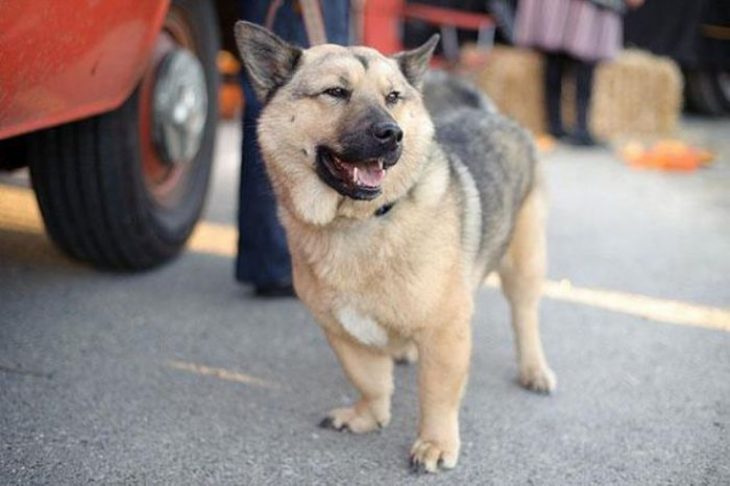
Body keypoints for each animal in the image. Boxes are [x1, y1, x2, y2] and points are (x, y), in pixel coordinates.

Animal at [236, 20, 556, 472]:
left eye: (393, 97)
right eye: (336, 92)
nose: (392, 134)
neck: (359, 221)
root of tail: (491, 114)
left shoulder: (445, 331)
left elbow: (437, 394)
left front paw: (435, 443)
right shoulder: (342, 331)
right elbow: (369, 380)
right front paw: (368, 416)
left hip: (524, 264)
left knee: (525, 318)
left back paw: (534, 369)